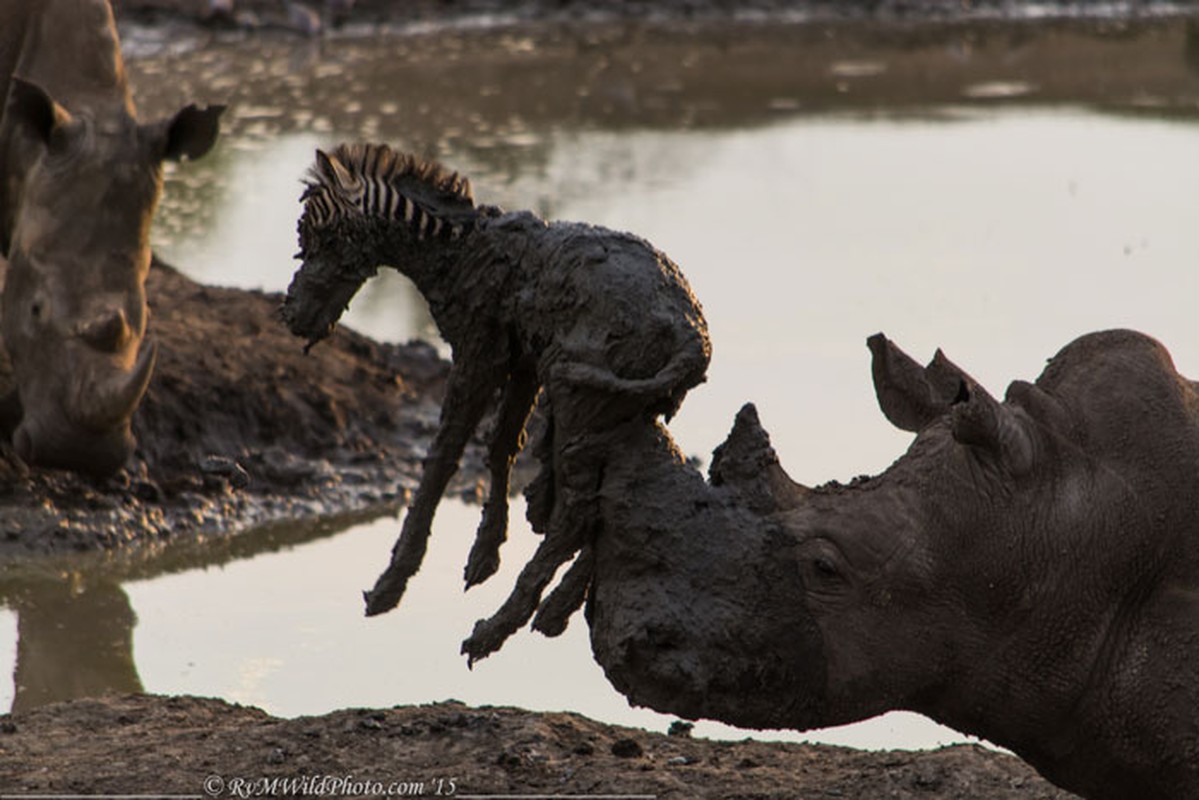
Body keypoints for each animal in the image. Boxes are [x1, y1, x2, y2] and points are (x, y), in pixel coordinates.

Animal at [280, 145, 709, 662]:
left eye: (319, 236)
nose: (291, 315)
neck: (457, 249)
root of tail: (692, 334)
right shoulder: (520, 360)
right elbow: (502, 443)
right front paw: (485, 555)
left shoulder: (478, 353)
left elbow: (444, 455)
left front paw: (391, 583)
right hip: (627, 411)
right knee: (614, 497)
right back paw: (555, 613)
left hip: (582, 402)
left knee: (579, 512)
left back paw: (493, 631)